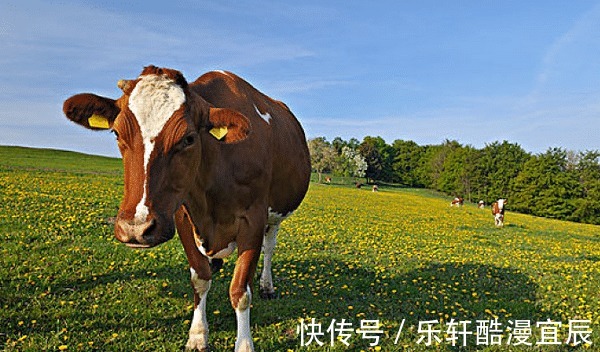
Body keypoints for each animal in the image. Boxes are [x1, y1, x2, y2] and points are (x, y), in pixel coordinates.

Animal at [63, 66, 312, 352]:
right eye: (116, 133)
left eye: (189, 138)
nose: (135, 228)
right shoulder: (181, 216)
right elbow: (200, 278)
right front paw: (198, 335)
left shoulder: (253, 219)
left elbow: (240, 290)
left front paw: (244, 344)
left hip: (276, 215)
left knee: (269, 248)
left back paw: (266, 286)